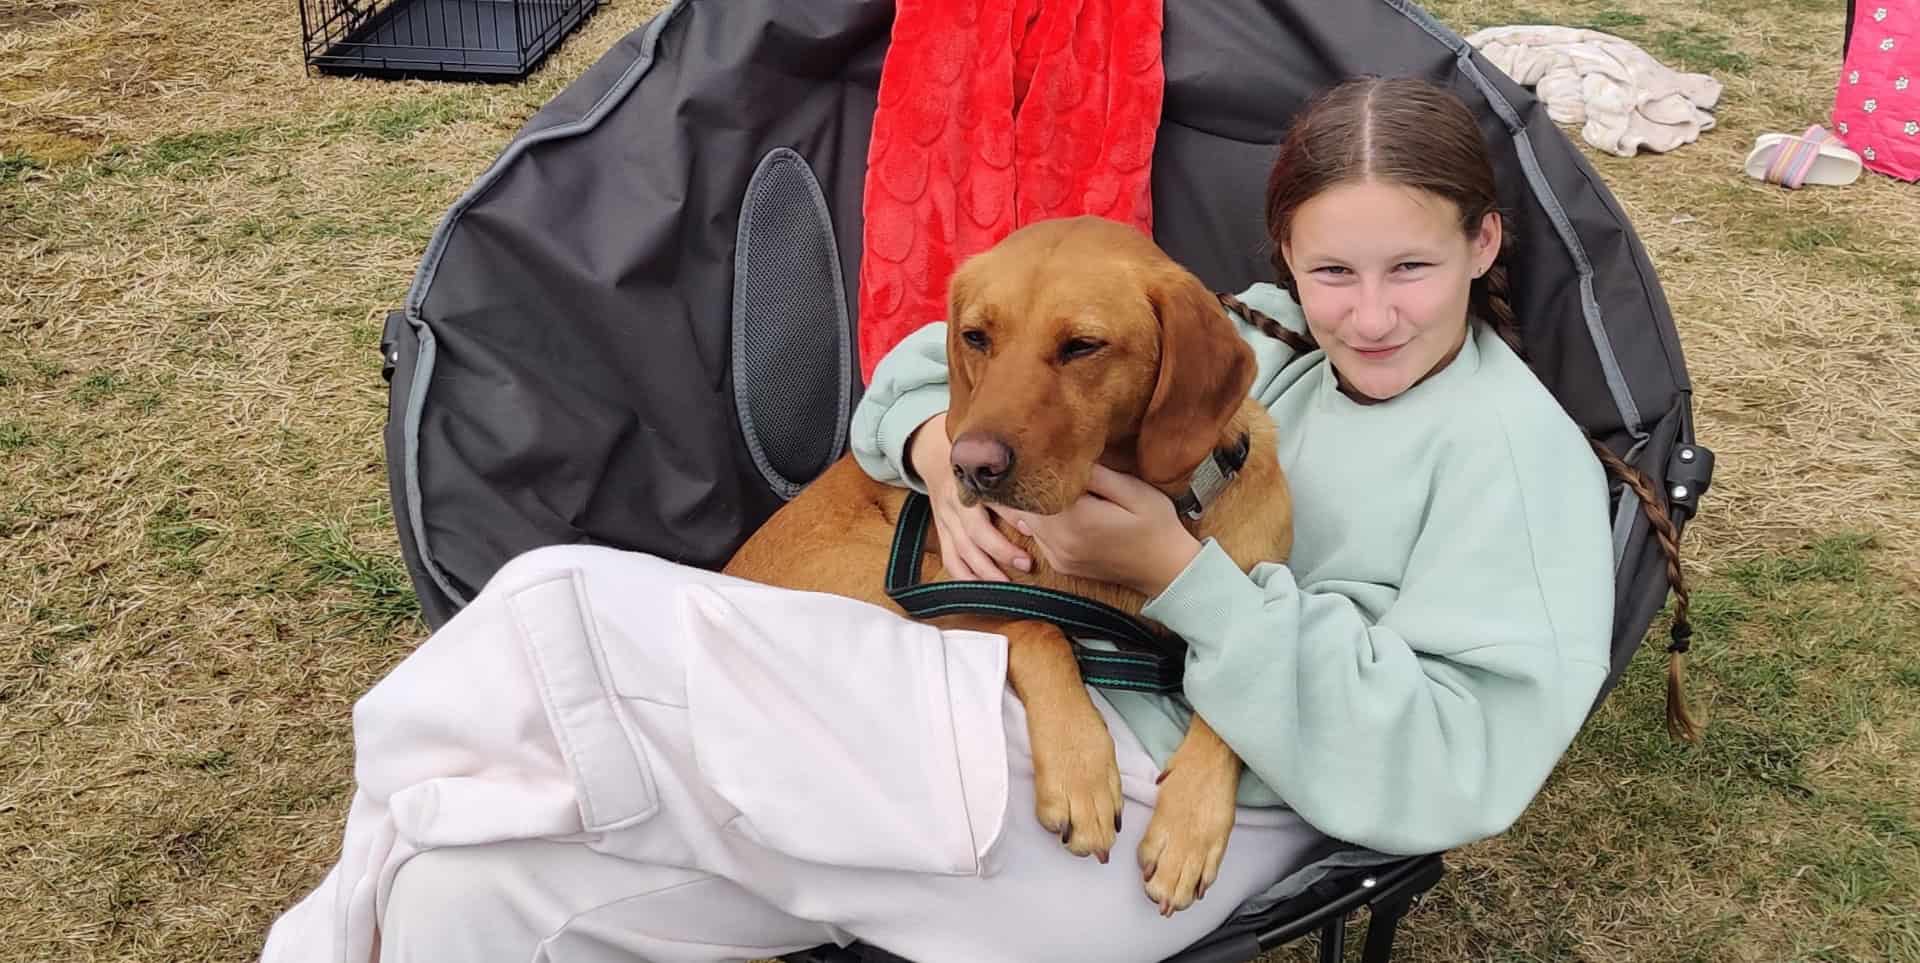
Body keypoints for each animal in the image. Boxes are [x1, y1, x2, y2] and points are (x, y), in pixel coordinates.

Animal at [721, 214, 1290, 913]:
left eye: (1082, 346)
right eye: (976, 337)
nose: (969, 466)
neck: (1171, 507)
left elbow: (1243, 701)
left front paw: (1189, 826)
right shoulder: (969, 586)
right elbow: (1037, 628)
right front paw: (1080, 770)